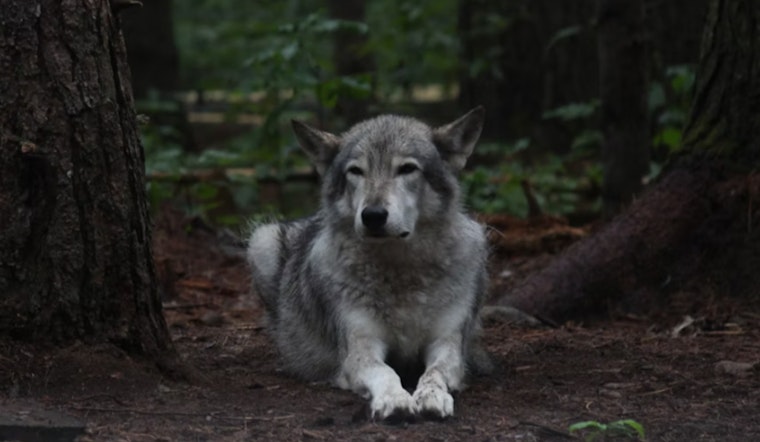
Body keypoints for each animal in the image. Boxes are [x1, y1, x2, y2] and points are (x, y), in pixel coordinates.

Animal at [246, 107, 490, 421]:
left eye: (407, 169)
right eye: (356, 171)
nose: (373, 215)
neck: (399, 272)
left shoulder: (446, 344)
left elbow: (434, 373)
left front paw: (432, 397)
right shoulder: (360, 347)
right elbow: (385, 372)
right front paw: (395, 400)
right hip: (260, 240)